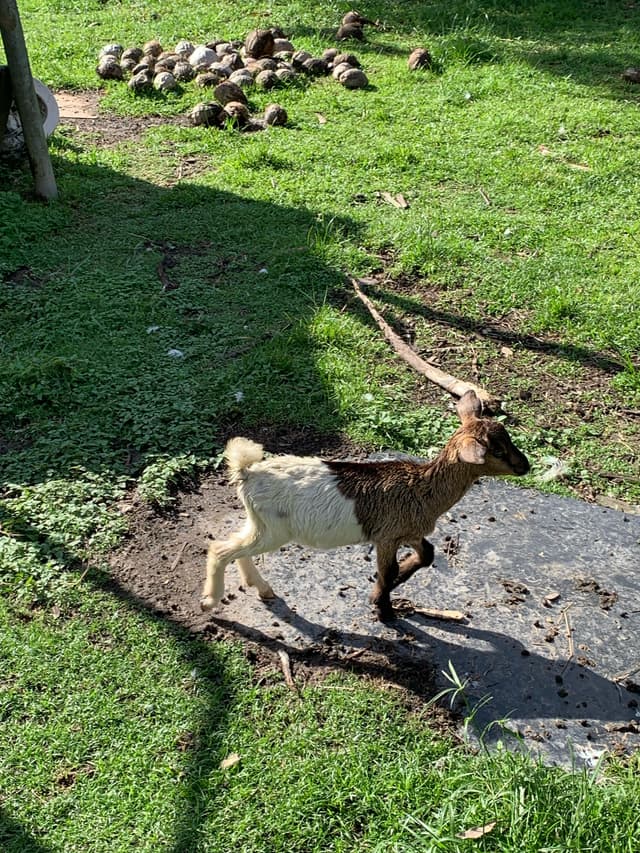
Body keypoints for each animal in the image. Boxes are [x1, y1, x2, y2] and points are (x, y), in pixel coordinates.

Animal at [201, 390, 530, 622]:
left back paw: (262, 588)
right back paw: (210, 601)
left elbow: (427, 554)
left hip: (260, 523)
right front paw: (384, 610)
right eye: (497, 450)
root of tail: (247, 472)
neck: (422, 488)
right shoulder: (387, 535)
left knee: (237, 544)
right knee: (221, 549)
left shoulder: (408, 531)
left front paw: (390, 587)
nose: (525, 466)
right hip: (274, 528)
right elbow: (387, 570)